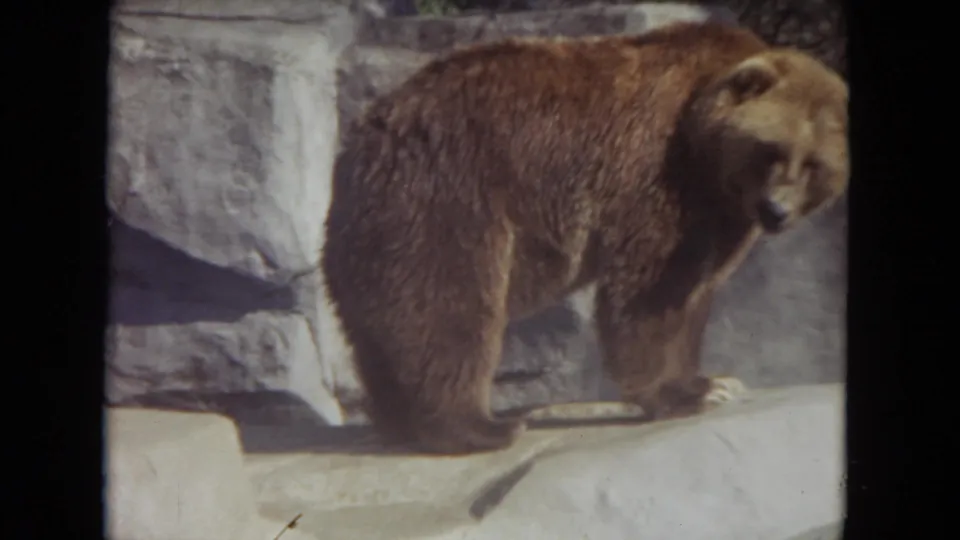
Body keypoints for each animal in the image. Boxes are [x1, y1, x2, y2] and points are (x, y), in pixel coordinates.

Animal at [321, 21, 849, 455]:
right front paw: (677, 394)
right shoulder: (659, 172)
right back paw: (484, 426)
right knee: (449, 307)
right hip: (445, 197)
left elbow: (696, 291)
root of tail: (358, 143)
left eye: (814, 164)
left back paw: (400, 424)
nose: (777, 211)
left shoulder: (719, 213)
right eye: (771, 149)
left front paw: (709, 382)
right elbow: (651, 288)